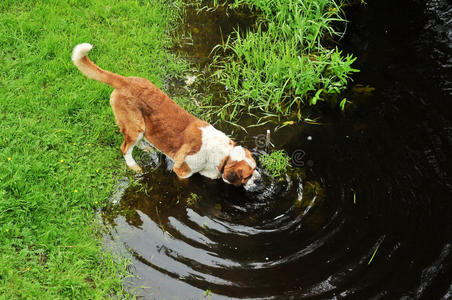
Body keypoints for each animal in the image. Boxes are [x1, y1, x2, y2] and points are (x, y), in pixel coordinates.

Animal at [71, 43, 262, 190]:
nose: (259, 179)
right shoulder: (183, 171)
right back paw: (134, 166)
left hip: (141, 127)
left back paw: (147, 148)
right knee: (125, 148)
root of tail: (124, 80)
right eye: (247, 176)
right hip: (135, 126)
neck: (224, 154)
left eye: (255, 169)